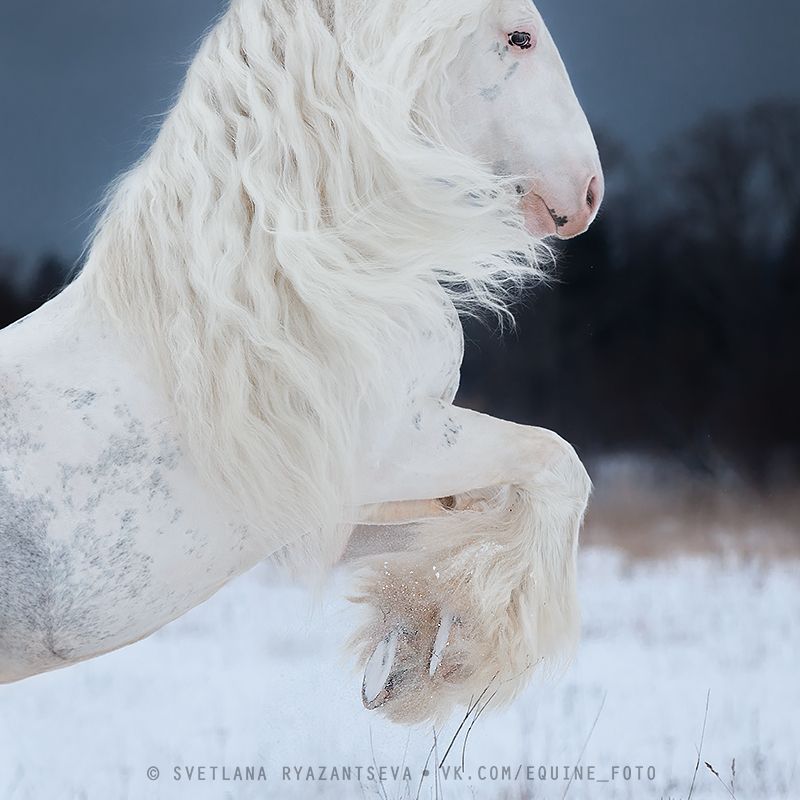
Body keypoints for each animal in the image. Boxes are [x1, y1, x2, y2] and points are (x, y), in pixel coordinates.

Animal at [0, 0, 602, 724]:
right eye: (519, 36)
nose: (589, 191)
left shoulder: (341, 505)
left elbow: (482, 507)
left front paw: (409, 651)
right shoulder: (390, 449)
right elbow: (558, 464)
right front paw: (454, 656)